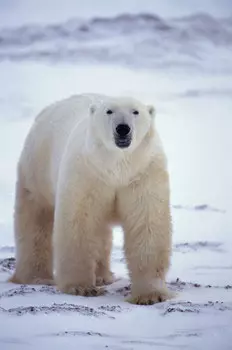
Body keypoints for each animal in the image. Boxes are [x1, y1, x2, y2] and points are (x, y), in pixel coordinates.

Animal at [8, 92, 172, 304]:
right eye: (109, 111)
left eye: (135, 111)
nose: (122, 128)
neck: (116, 166)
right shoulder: (86, 172)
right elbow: (79, 223)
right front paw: (81, 287)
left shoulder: (143, 174)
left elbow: (147, 224)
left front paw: (151, 295)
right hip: (38, 167)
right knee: (36, 219)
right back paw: (36, 277)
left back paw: (103, 276)